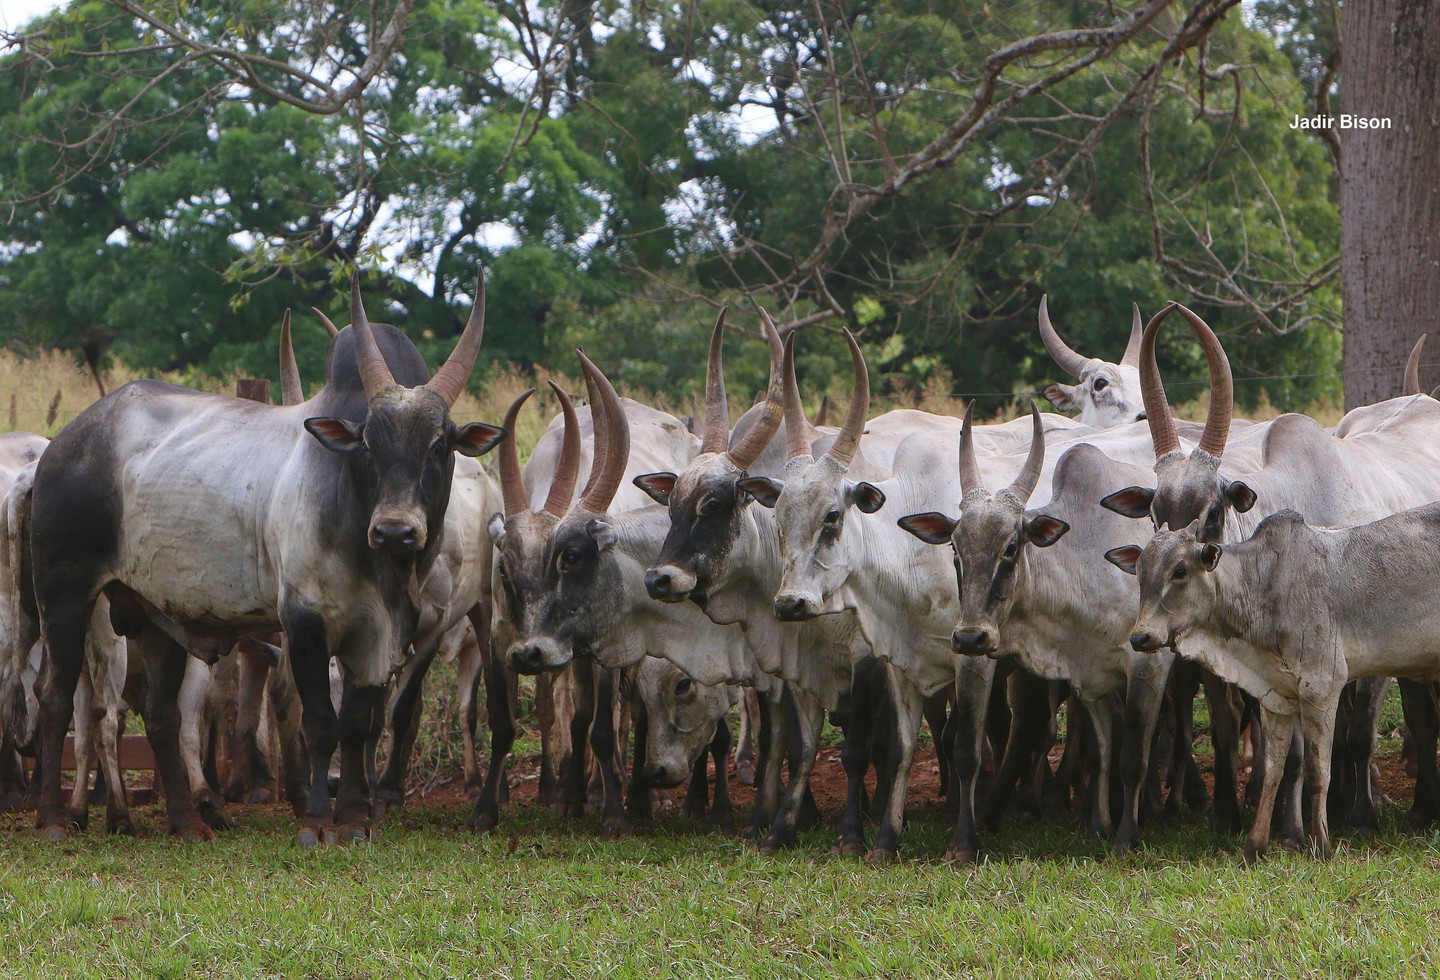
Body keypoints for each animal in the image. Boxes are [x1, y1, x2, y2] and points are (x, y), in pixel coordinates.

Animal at [26, 274, 506, 840]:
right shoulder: (304, 620)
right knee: (56, 695)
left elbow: (357, 725)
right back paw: (55, 818)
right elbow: (318, 722)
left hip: (156, 612)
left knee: (162, 714)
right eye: (367, 443)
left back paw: (187, 822)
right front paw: (317, 821)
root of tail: (66, 440)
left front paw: (353, 819)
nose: (394, 531)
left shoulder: (379, 636)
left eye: (437, 445)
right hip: (64, 594)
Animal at [1105, 509, 1440, 857]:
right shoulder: (1274, 698)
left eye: (1179, 571)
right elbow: (1271, 771)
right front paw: (1254, 847)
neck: (1263, 587)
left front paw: (1321, 845)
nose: (1140, 637)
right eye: (1140, 574)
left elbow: (1318, 771)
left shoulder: (1322, 688)